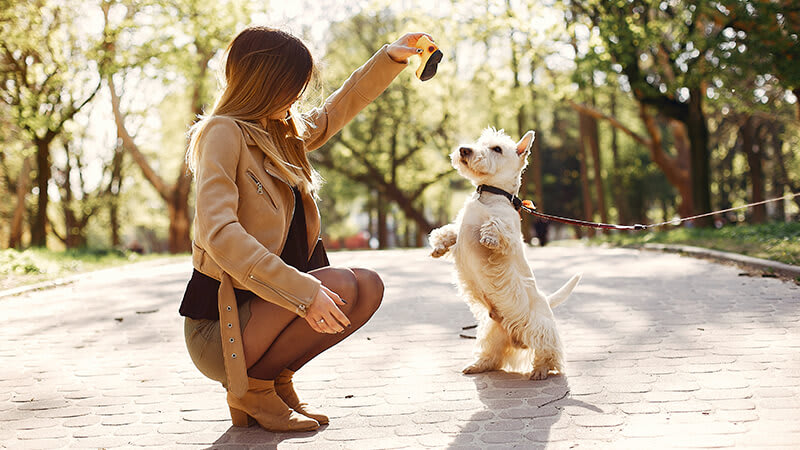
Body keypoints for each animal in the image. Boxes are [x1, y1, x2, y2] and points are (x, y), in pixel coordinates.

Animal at [432, 127, 580, 380]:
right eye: (480, 142)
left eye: (497, 149)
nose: (464, 150)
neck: (489, 194)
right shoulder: (460, 230)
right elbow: (449, 231)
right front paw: (438, 247)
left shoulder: (510, 234)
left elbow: (496, 226)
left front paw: (488, 237)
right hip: (492, 332)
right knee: (494, 354)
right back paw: (477, 365)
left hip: (539, 327)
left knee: (548, 351)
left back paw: (540, 370)